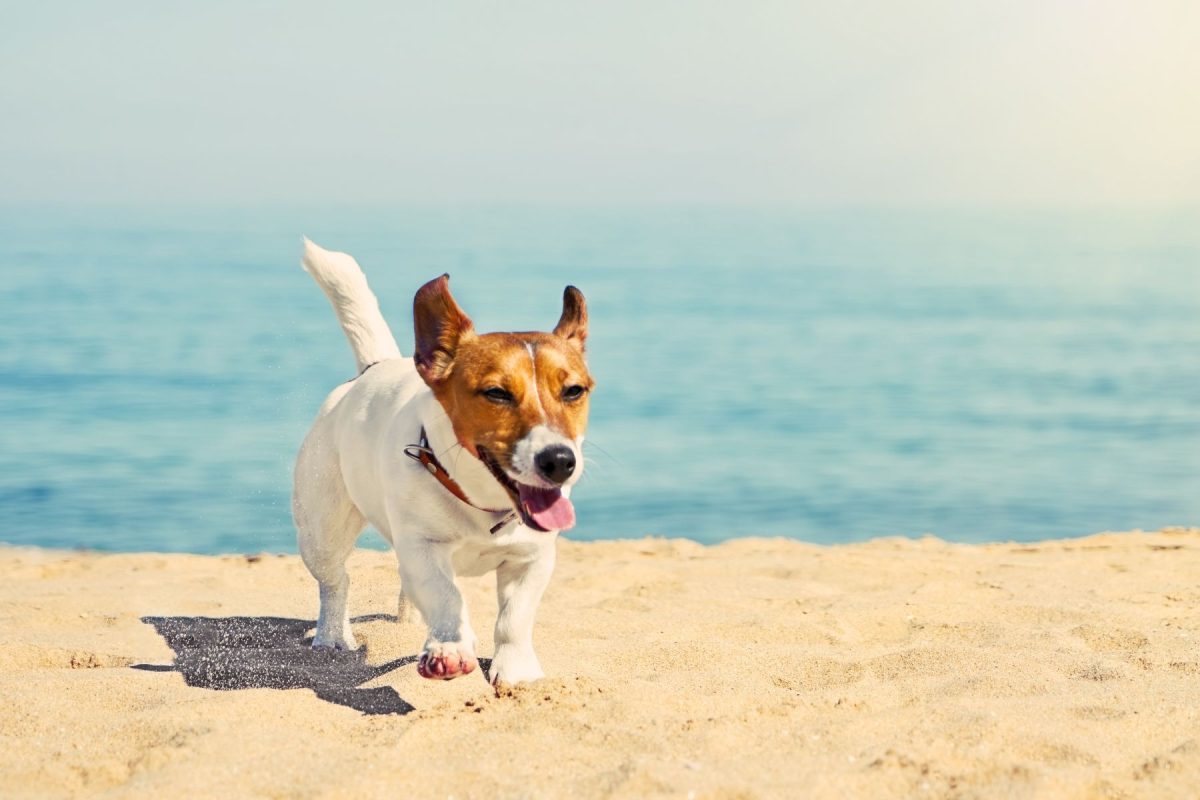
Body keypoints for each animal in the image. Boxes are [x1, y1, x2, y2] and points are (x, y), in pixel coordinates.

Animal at [290, 239, 590, 690]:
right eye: (497, 393)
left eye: (574, 391)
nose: (559, 461)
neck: (482, 504)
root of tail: (373, 368)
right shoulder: (423, 548)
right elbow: (447, 597)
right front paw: (449, 648)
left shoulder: (531, 559)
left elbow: (514, 619)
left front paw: (516, 671)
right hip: (322, 528)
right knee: (335, 581)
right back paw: (333, 636)